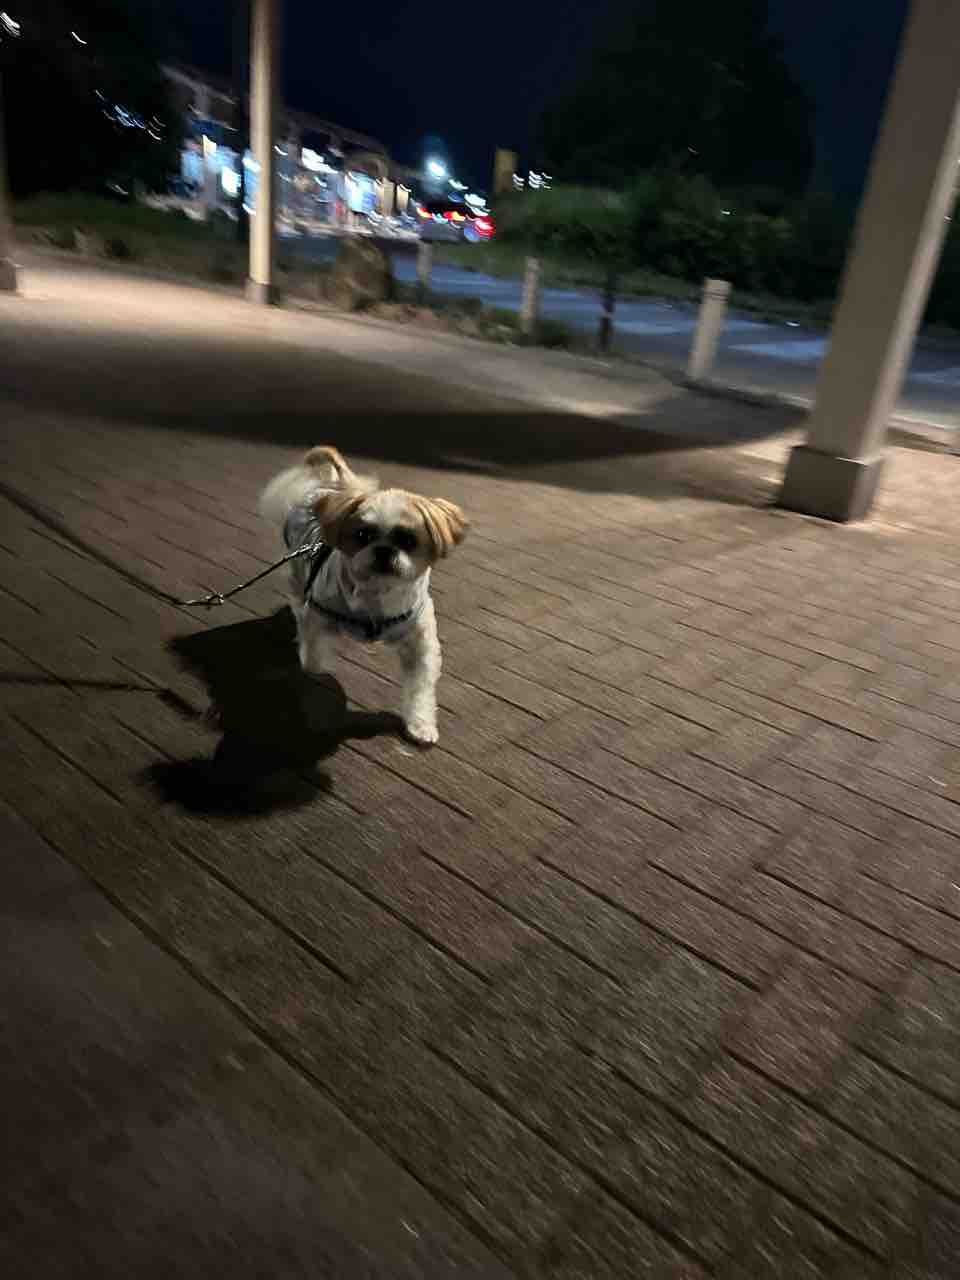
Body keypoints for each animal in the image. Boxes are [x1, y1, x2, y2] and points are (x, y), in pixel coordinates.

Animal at [259, 446, 467, 746]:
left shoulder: (419, 642)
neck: (376, 596)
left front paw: (420, 723)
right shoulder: (317, 616)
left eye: (408, 540)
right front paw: (314, 666)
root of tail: (333, 487)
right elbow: (312, 656)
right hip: (298, 570)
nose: (384, 550)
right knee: (298, 599)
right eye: (362, 535)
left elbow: (420, 687)